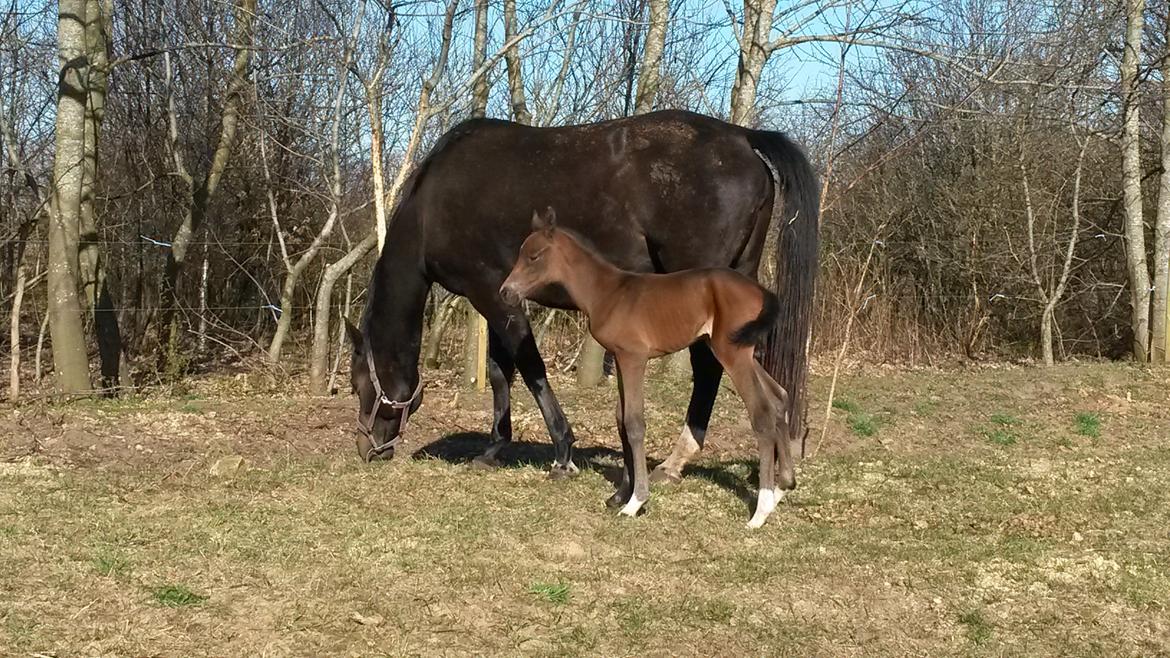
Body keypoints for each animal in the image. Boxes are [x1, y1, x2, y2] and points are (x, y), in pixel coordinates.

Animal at [346, 106, 819, 475]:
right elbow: (501, 372)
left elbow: (530, 367)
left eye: (356, 383)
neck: (435, 204)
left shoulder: (492, 295)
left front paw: (562, 449)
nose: (368, 449)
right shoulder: (494, 298)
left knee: (707, 366)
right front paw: (495, 447)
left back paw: (674, 461)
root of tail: (743, 137)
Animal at [500, 207, 795, 524]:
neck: (608, 292)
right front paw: (620, 495)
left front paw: (635, 502)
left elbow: (634, 423)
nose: (505, 292)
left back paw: (760, 512)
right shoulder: (619, 358)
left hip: (732, 353)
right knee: (779, 397)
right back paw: (782, 488)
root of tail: (762, 292)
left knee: (762, 412)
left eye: (534, 256)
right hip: (740, 352)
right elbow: (621, 418)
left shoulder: (634, 358)